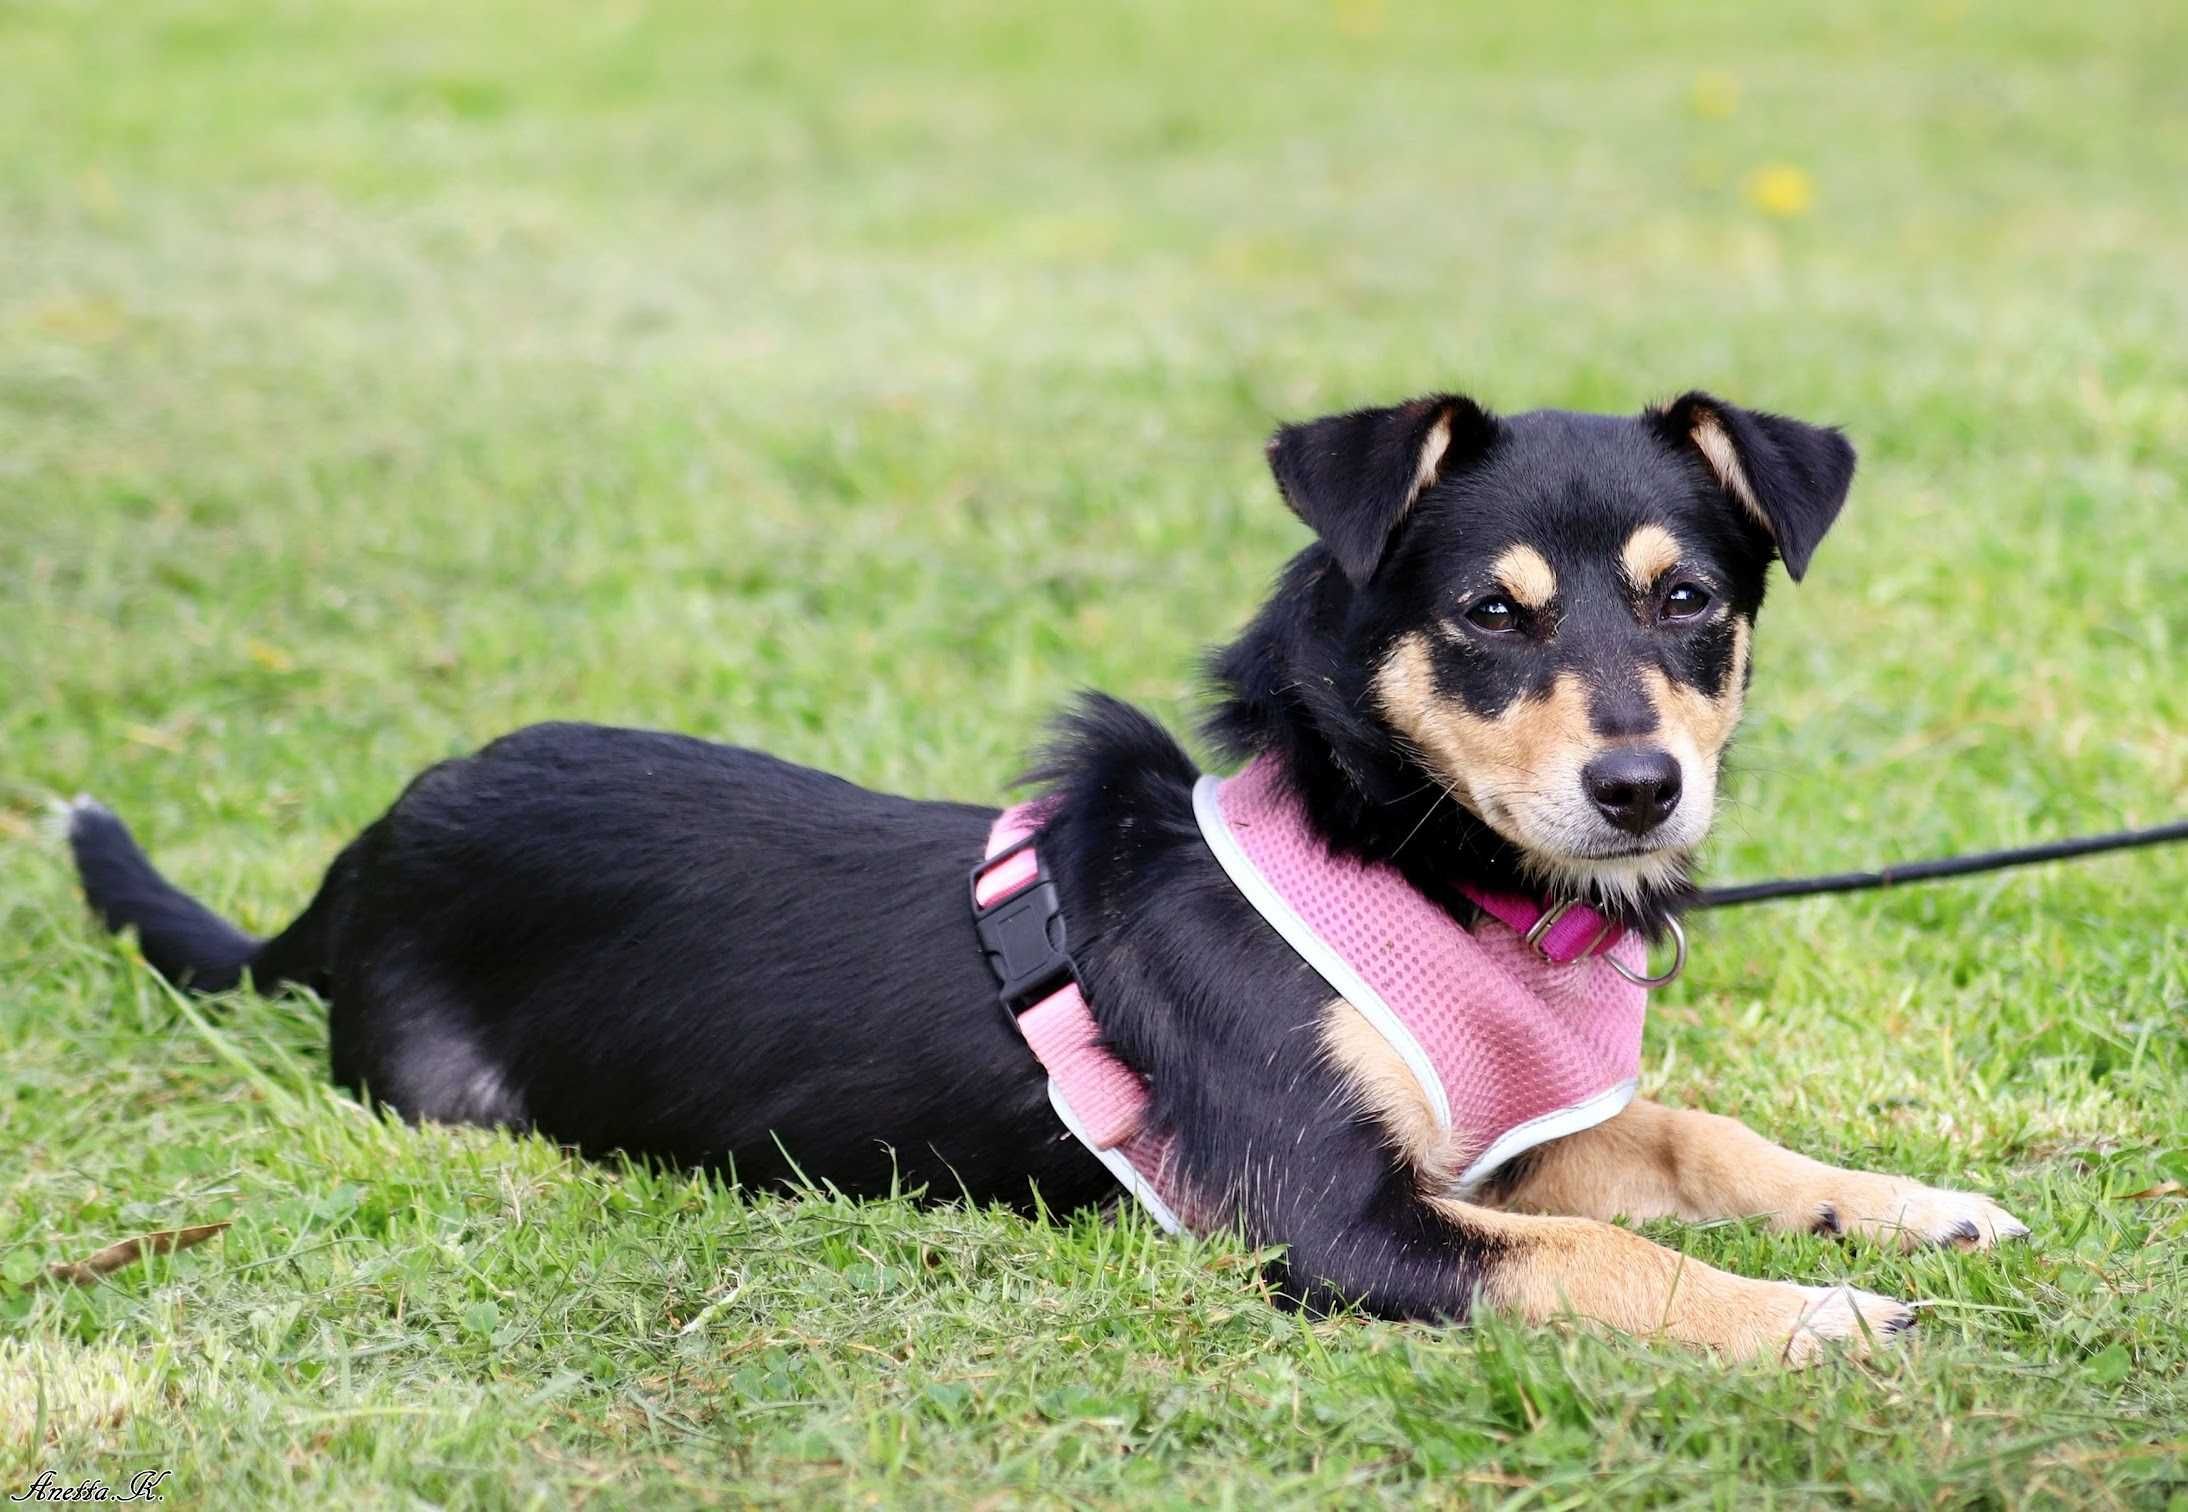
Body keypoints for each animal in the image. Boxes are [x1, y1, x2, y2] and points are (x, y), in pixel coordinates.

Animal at [72, 389, 2030, 1374]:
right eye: (1491, 613)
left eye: (1689, 599)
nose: (1639, 790)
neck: (1413, 862)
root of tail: (366, 852)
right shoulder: (1330, 1214)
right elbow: (1598, 1255)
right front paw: (1807, 1316)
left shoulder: (1497, 1143)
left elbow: (1698, 1141)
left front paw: (1898, 1206)